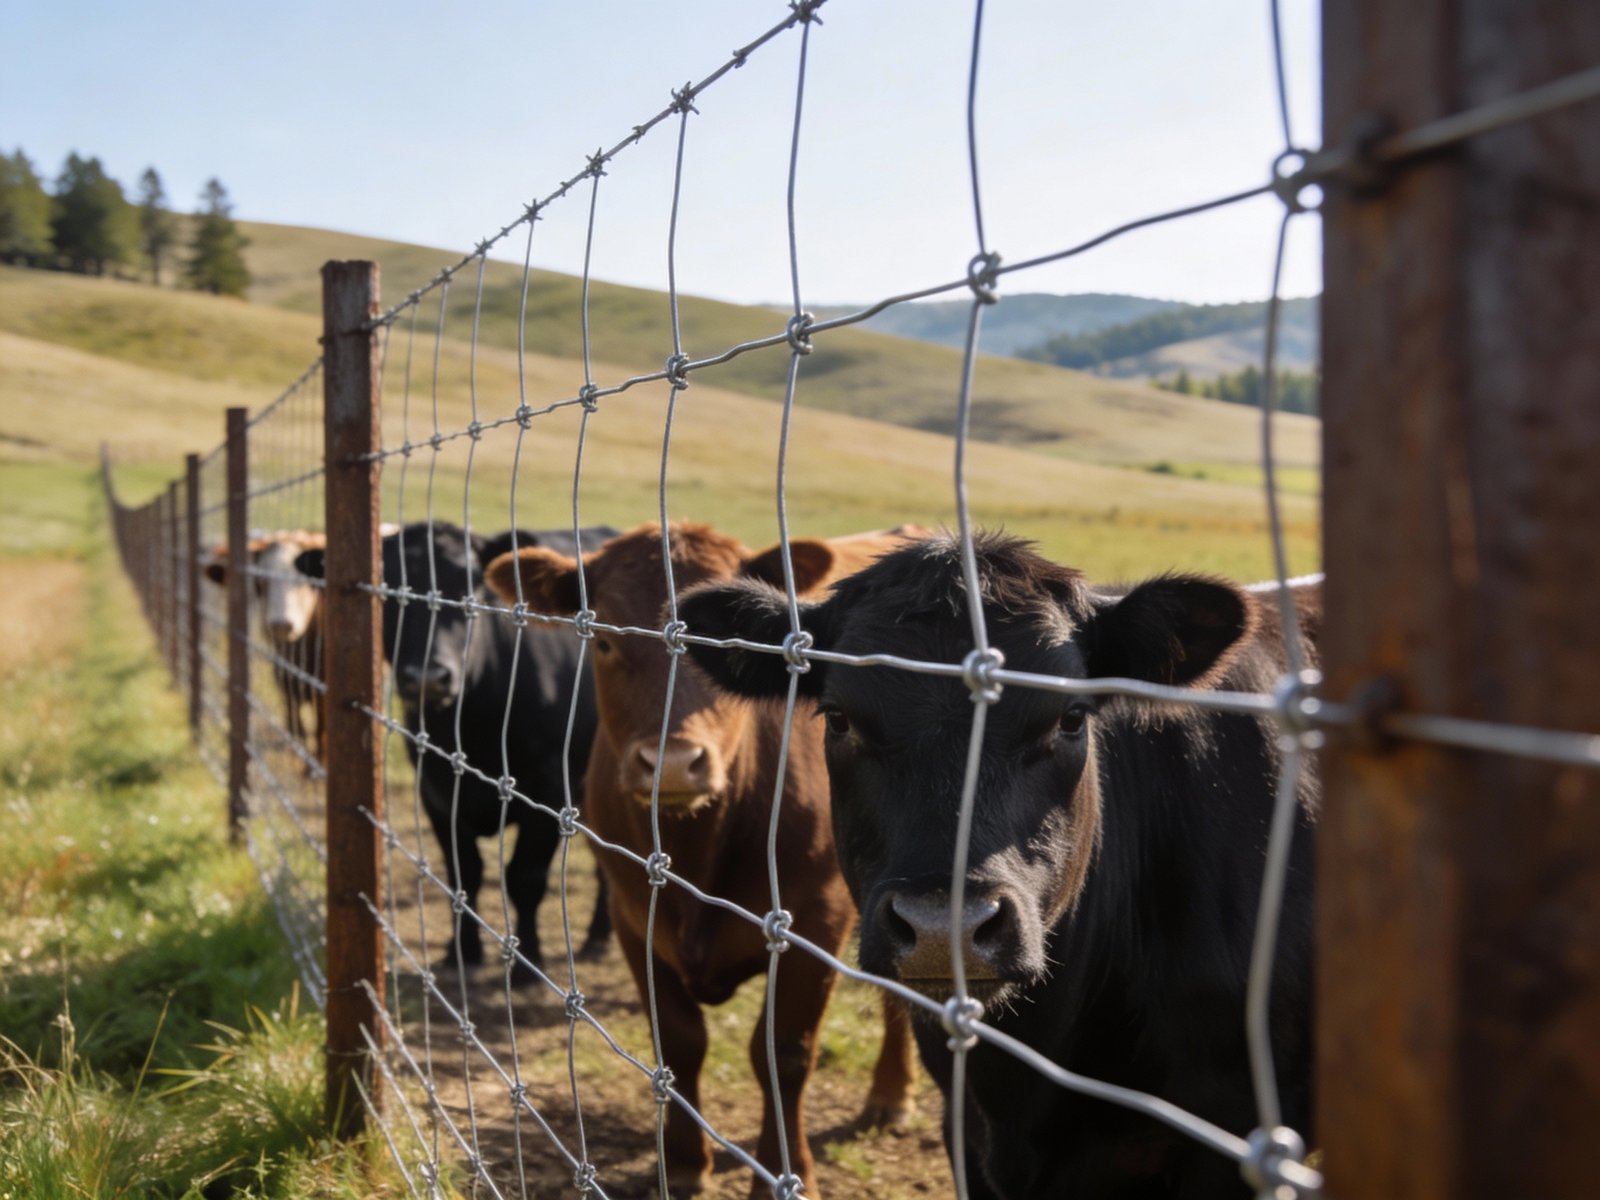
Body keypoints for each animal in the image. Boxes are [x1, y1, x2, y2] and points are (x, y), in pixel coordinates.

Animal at [205, 530, 327, 762]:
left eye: (305, 581)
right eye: (260, 582)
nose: (281, 625)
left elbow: (319, 734)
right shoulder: (284, 679)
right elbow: (295, 723)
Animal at [296, 521, 618, 983]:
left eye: (470, 587)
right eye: (390, 592)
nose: (428, 677)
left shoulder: (550, 790)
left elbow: (525, 877)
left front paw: (528, 962)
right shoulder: (434, 788)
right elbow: (463, 873)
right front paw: (462, 951)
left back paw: (597, 936)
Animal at [484, 522, 922, 1198]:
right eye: (604, 639)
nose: (671, 763)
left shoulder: (816, 920)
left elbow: (783, 1053)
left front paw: (785, 1171)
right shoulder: (632, 914)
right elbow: (680, 1042)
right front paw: (687, 1162)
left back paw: (892, 1094)